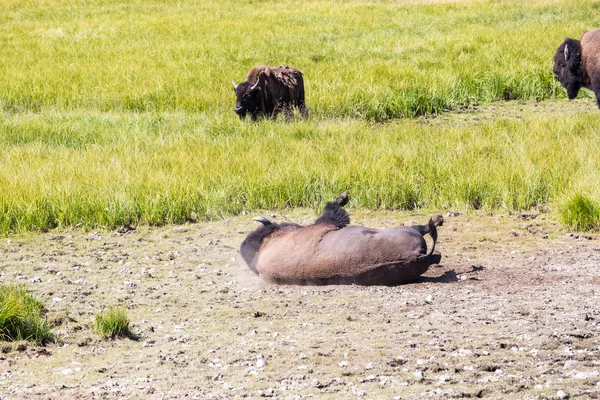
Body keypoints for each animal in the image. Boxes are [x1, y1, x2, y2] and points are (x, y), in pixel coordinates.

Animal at [238, 192, 440, 286]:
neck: (262, 249)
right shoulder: (325, 223)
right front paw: (342, 198)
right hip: (407, 231)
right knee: (425, 229)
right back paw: (437, 220)